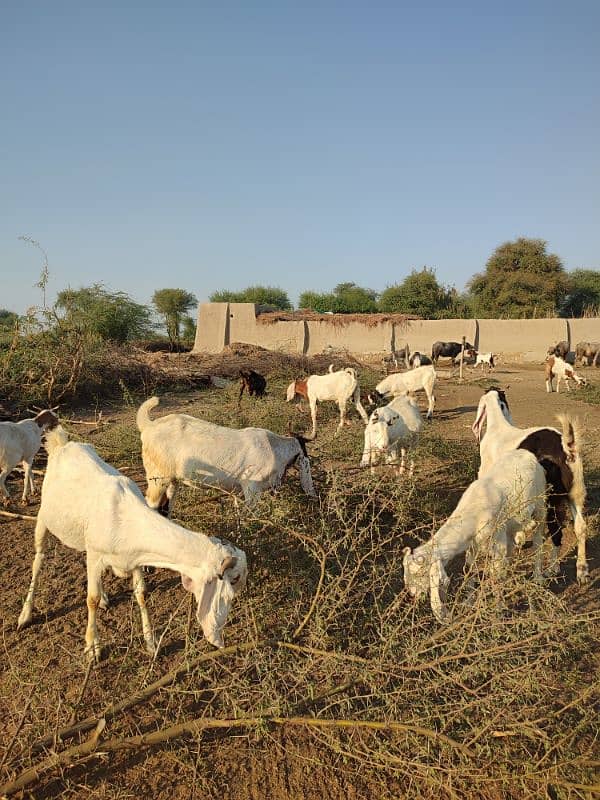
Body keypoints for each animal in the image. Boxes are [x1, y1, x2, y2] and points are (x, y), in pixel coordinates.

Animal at [17, 424, 246, 664]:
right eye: (234, 579)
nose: (220, 636)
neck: (126, 518)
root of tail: (62, 443)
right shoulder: (96, 554)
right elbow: (90, 598)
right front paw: (93, 647)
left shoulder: (134, 559)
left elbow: (142, 594)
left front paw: (151, 643)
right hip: (43, 520)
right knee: (38, 561)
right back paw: (25, 614)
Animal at [404, 446, 548, 620]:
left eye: (419, 574)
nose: (411, 594)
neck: (474, 510)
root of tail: (527, 453)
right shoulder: (473, 544)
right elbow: (469, 568)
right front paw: (469, 602)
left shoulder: (497, 542)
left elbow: (495, 574)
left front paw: (498, 610)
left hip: (540, 504)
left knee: (538, 538)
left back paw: (538, 576)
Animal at [472, 388, 588, 580]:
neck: (498, 427)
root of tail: (566, 448)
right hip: (575, 493)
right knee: (580, 527)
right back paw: (581, 570)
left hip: (549, 499)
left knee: (555, 532)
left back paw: (552, 569)